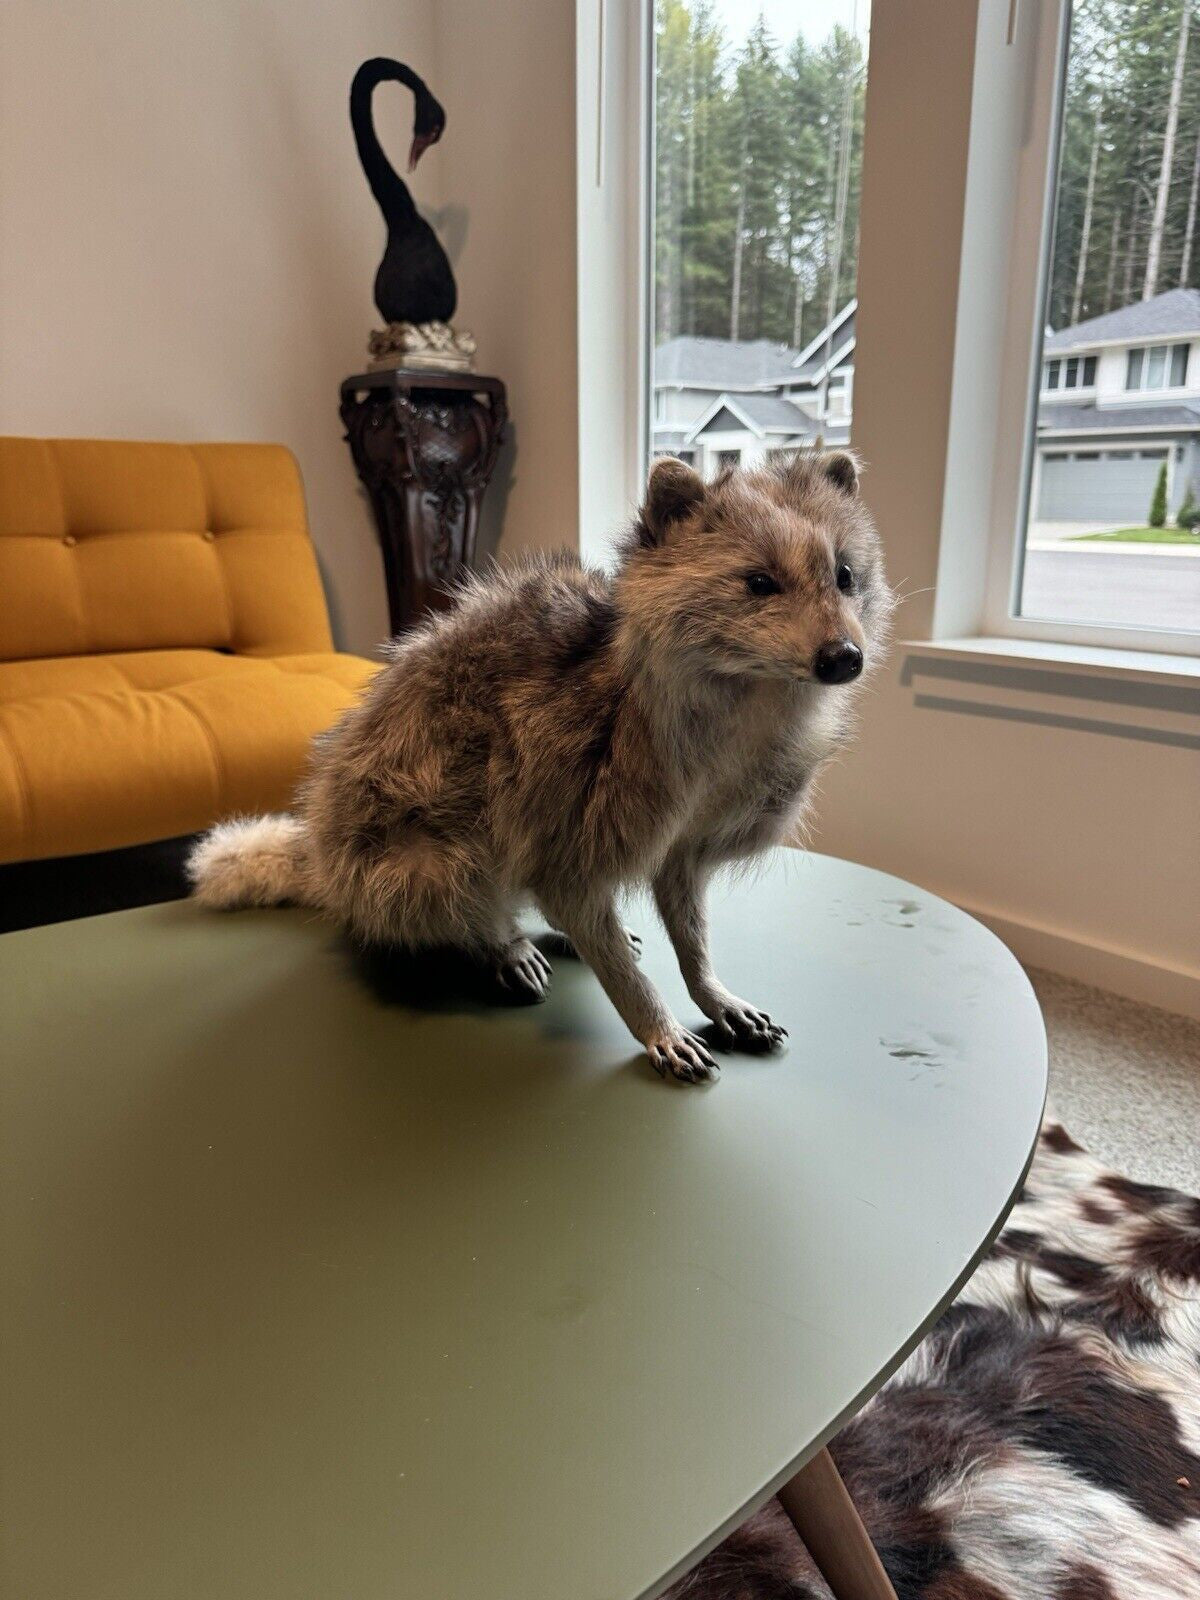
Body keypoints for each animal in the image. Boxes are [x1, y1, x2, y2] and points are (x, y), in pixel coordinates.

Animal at [188, 451, 892, 1082]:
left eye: (845, 575)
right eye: (758, 583)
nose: (843, 657)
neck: (749, 696)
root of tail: (324, 849)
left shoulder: (704, 818)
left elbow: (681, 900)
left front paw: (705, 983)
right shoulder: (573, 774)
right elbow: (570, 887)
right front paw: (650, 1014)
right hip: (396, 840)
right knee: (451, 873)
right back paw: (497, 936)